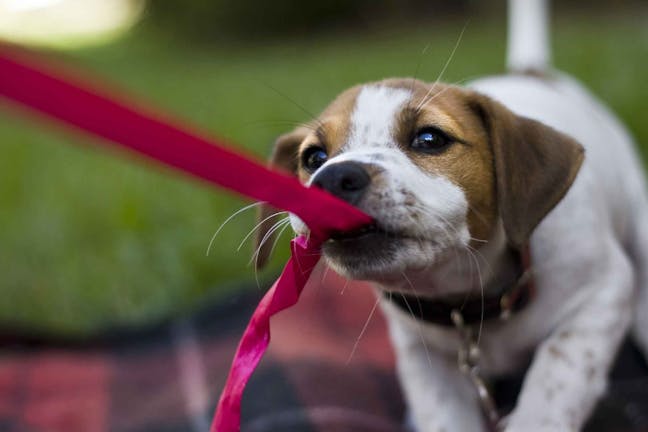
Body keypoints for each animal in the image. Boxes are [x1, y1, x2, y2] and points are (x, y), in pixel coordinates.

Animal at [254, 1, 648, 430]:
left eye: (429, 139)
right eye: (314, 158)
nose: (332, 178)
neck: (468, 299)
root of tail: (528, 73)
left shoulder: (602, 294)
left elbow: (553, 381)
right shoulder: (421, 353)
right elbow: (442, 413)